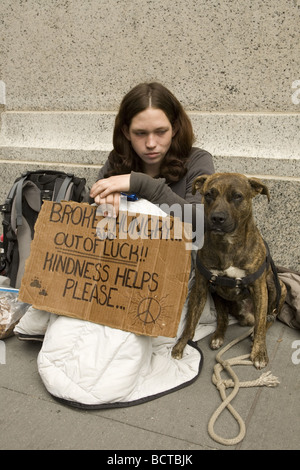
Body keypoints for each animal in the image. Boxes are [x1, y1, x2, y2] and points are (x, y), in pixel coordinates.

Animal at [171, 173, 286, 370]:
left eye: (237, 196)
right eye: (209, 194)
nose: (217, 218)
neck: (227, 244)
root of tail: (246, 316)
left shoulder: (259, 287)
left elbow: (261, 324)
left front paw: (259, 352)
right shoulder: (201, 286)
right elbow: (191, 320)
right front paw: (182, 344)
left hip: (276, 287)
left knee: (267, 318)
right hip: (218, 295)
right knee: (224, 318)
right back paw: (218, 336)